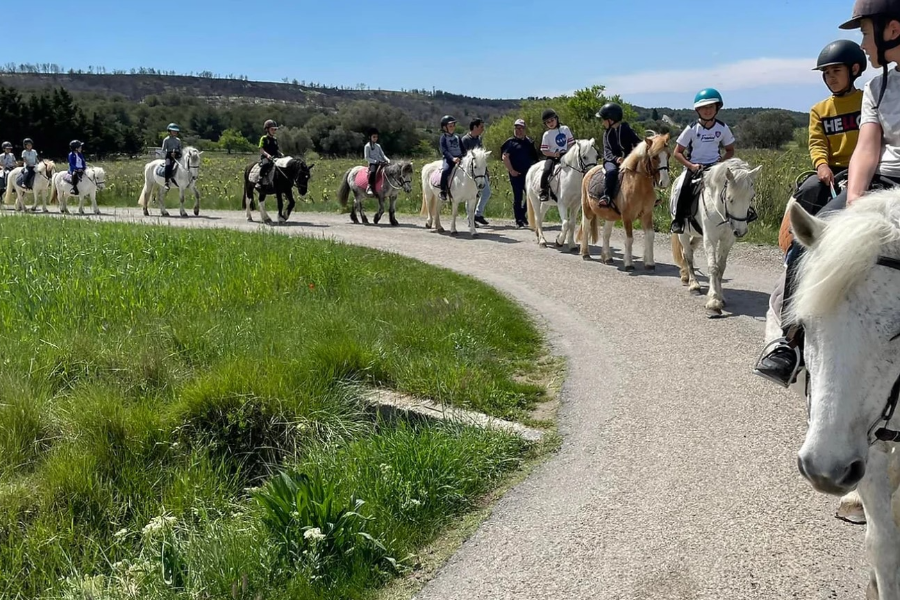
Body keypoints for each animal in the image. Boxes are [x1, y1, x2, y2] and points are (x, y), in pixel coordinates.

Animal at [580, 134, 672, 272]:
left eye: (668, 155)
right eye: (654, 157)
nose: (664, 182)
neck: (639, 185)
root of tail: (589, 172)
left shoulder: (647, 214)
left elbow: (650, 236)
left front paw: (649, 263)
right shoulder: (627, 216)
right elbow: (629, 239)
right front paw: (629, 264)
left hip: (610, 216)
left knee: (606, 234)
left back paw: (607, 257)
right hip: (587, 210)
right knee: (586, 228)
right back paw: (585, 254)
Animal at [672, 157, 764, 316]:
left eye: (751, 197)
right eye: (730, 199)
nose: (740, 231)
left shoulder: (728, 240)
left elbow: (721, 267)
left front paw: (720, 297)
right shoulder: (710, 239)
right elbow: (713, 267)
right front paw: (714, 301)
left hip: (697, 235)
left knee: (690, 250)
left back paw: (686, 276)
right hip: (683, 233)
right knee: (688, 254)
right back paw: (694, 285)